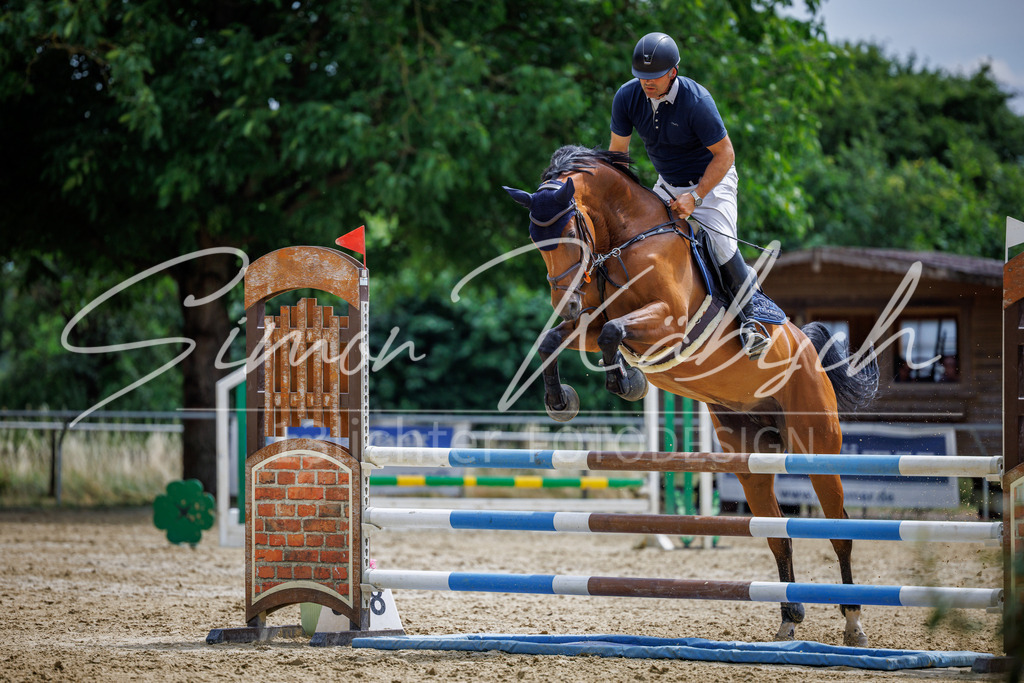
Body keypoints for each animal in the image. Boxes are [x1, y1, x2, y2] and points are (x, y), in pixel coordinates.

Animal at [504, 145, 879, 647]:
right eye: (535, 241)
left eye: (569, 233)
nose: (564, 303)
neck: (626, 239)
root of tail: (810, 351)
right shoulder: (588, 322)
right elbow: (561, 340)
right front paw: (562, 401)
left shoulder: (669, 324)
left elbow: (614, 331)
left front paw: (625, 382)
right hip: (749, 455)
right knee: (777, 532)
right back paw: (789, 618)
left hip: (816, 444)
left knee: (840, 530)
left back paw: (853, 622)